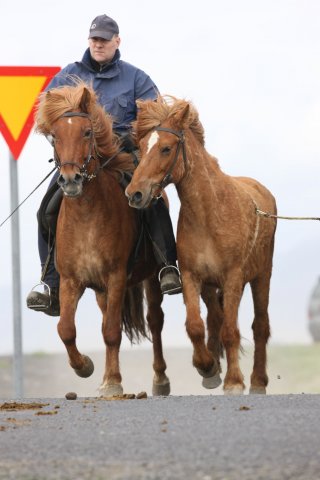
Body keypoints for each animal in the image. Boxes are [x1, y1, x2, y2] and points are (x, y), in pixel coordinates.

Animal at [34, 82, 170, 396]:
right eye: (55, 135)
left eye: (87, 132)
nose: (70, 180)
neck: (87, 216)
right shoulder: (71, 280)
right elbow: (66, 329)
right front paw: (85, 367)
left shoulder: (116, 276)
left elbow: (111, 331)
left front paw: (113, 384)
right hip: (100, 291)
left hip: (150, 277)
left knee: (154, 322)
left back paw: (159, 380)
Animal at [126, 95, 276, 396]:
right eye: (141, 147)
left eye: (166, 148)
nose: (134, 193)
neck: (211, 213)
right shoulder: (192, 277)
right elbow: (196, 325)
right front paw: (207, 367)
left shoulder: (233, 278)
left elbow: (231, 331)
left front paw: (233, 382)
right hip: (211, 286)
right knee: (215, 319)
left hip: (261, 277)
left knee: (260, 326)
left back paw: (257, 381)